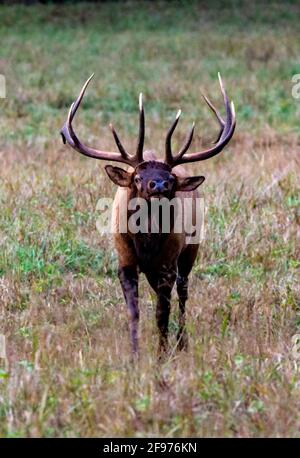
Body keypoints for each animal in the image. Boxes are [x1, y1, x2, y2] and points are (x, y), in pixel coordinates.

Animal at [59, 74, 236, 354]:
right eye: (138, 177)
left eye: (171, 178)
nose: (159, 185)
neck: (147, 245)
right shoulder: (125, 260)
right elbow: (134, 312)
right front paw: (134, 354)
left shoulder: (168, 264)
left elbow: (162, 313)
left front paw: (163, 354)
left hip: (191, 249)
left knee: (183, 294)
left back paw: (182, 343)